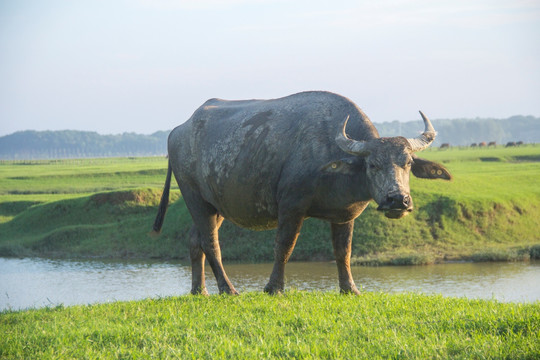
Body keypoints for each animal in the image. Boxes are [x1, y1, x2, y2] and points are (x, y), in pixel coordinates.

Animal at [152, 90, 452, 296]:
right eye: (373, 164)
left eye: (408, 163)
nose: (397, 200)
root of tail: (178, 130)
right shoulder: (291, 207)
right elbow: (284, 247)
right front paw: (273, 287)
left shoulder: (345, 216)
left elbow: (343, 252)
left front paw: (350, 289)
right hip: (193, 196)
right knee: (211, 243)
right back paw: (229, 290)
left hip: (216, 205)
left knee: (196, 240)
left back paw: (198, 291)